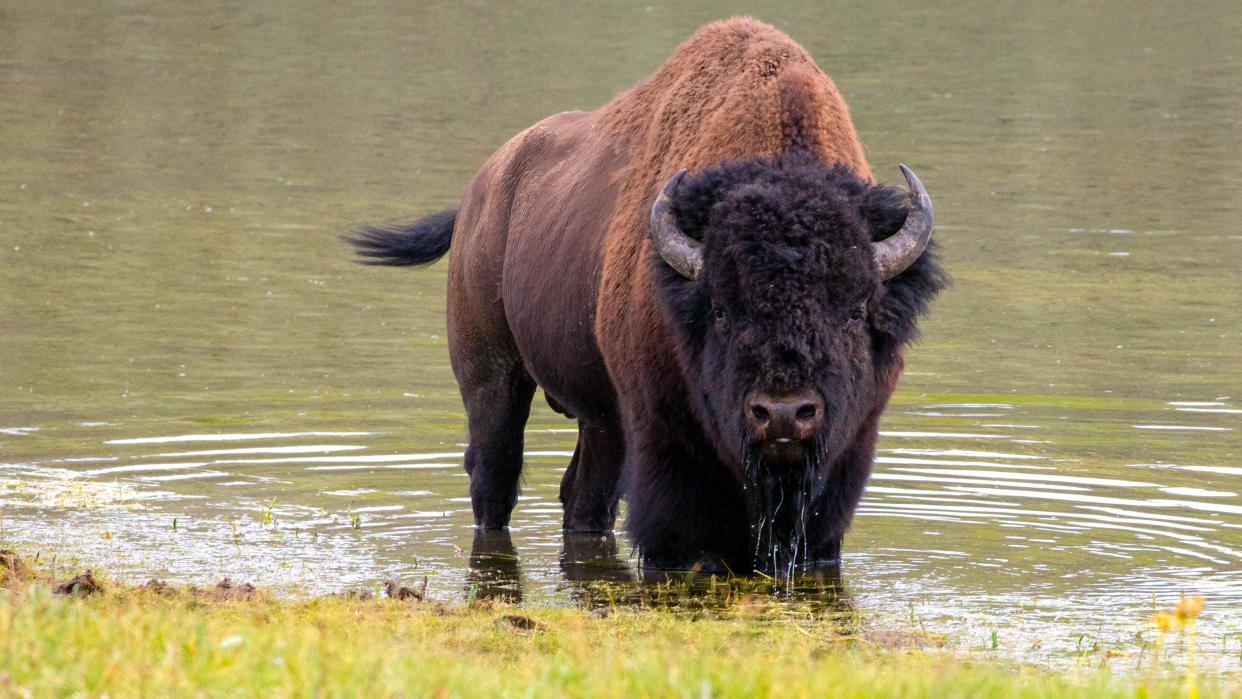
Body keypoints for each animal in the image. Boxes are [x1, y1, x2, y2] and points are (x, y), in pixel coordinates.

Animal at [350, 17, 938, 573]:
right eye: (720, 310)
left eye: (856, 311)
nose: (784, 413)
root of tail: (485, 186)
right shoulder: (663, 437)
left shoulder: (848, 450)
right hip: (491, 376)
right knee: (493, 474)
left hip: (601, 419)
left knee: (582, 496)